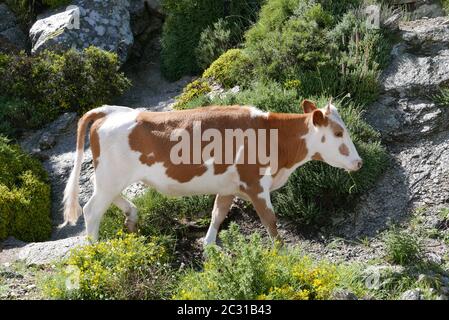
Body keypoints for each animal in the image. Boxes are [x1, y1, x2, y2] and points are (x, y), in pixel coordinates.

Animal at [63, 100, 362, 245]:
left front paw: (209, 245)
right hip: (112, 176)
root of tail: (109, 111)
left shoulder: (229, 186)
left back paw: (131, 218)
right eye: (338, 133)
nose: (359, 162)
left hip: (111, 177)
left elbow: (218, 213)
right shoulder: (255, 184)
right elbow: (271, 222)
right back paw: (95, 251)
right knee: (91, 210)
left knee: (110, 200)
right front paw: (282, 254)